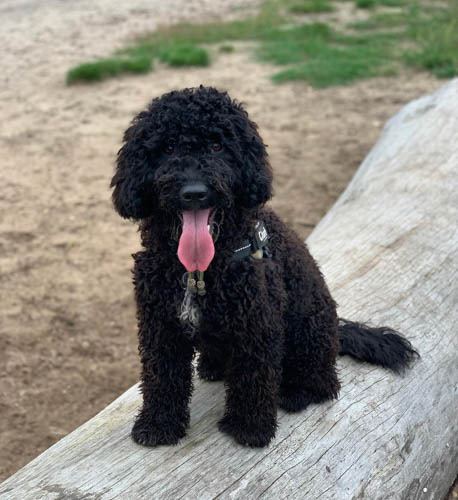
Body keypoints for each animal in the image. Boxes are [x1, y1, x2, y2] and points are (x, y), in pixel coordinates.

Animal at [111, 86, 418, 450]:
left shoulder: (256, 326)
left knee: (323, 383)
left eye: (217, 146)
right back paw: (213, 367)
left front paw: (249, 428)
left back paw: (295, 393)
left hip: (307, 332)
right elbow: (162, 377)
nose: (194, 192)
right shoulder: (161, 326)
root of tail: (336, 331)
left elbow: (252, 381)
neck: (200, 272)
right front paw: (158, 425)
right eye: (168, 147)